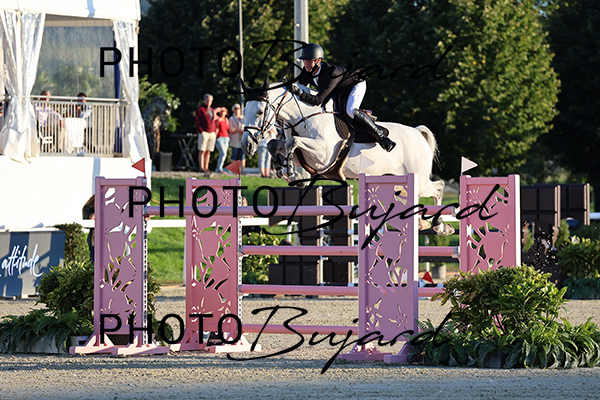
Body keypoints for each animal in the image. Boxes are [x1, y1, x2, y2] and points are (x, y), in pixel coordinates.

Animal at [240, 78, 454, 235]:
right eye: (244, 111)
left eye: (260, 111)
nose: (246, 145)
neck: (305, 118)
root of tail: (418, 133)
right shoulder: (304, 155)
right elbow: (275, 144)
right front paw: (287, 172)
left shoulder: (323, 155)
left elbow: (291, 142)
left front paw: (292, 172)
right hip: (397, 185)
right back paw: (422, 224)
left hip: (418, 181)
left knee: (438, 187)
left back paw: (440, 225)